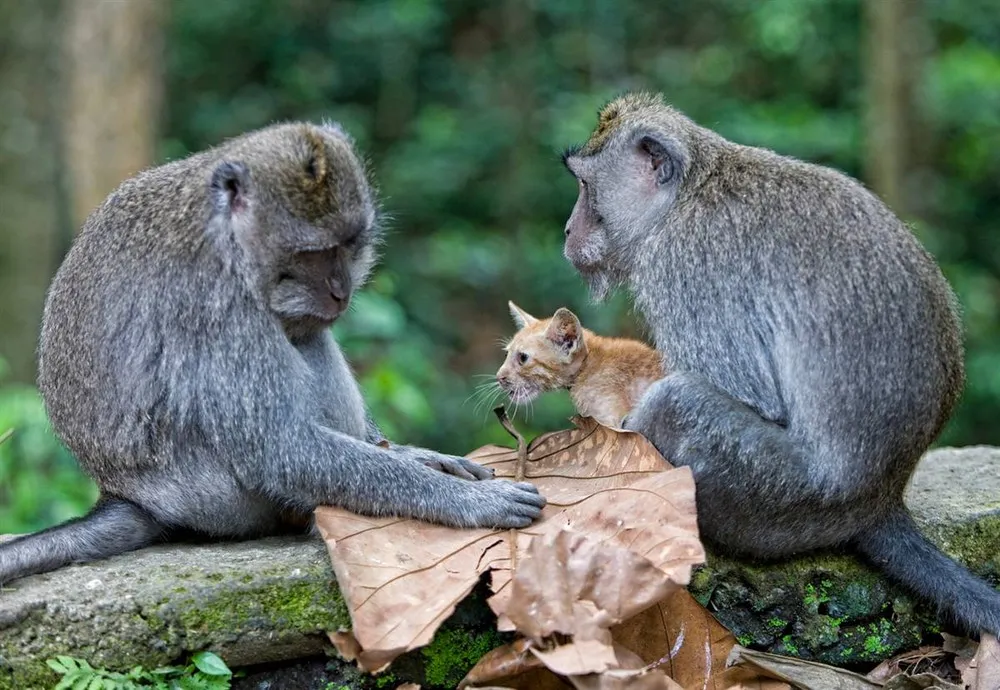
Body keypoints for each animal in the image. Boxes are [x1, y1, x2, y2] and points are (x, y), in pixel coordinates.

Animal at [0, 122, 544, 580]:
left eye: (348, 244)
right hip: (217, 498)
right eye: (311, 254)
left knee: (304, 333)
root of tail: (128, 496)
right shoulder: (216, 302)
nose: (340, 289)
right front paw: (470, 501)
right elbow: (282, 450)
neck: (225, 232)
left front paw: (416, 456)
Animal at [560, 90, 996, 636]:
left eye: (584, 185)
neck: (688, 194)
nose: (568, 229)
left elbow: (749, 396)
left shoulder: (687, 267)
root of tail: (881, 497)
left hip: (782, 497)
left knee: (678, 401)